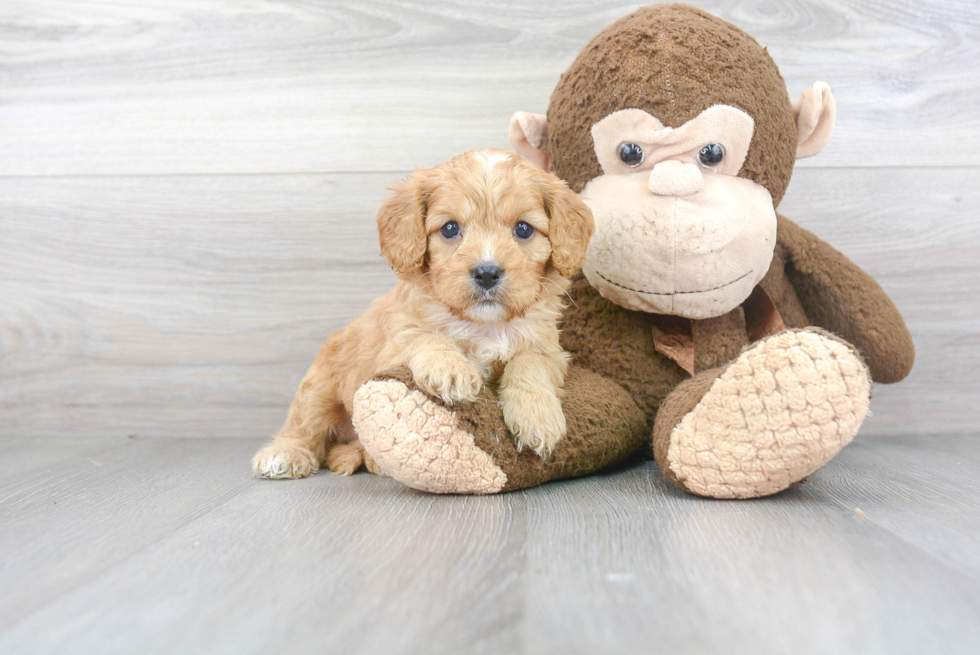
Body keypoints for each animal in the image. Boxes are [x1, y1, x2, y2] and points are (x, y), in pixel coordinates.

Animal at [249, 149, 592, 480]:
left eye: (523, 228)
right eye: (450, 228)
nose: (487, 273)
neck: (483, 325)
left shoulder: (549, 348)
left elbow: (530, 363)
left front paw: (537, 415)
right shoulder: (394, 343)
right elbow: (425, 337)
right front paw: (451, 368)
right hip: (320, 386)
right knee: (304, 426)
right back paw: (285, 454)